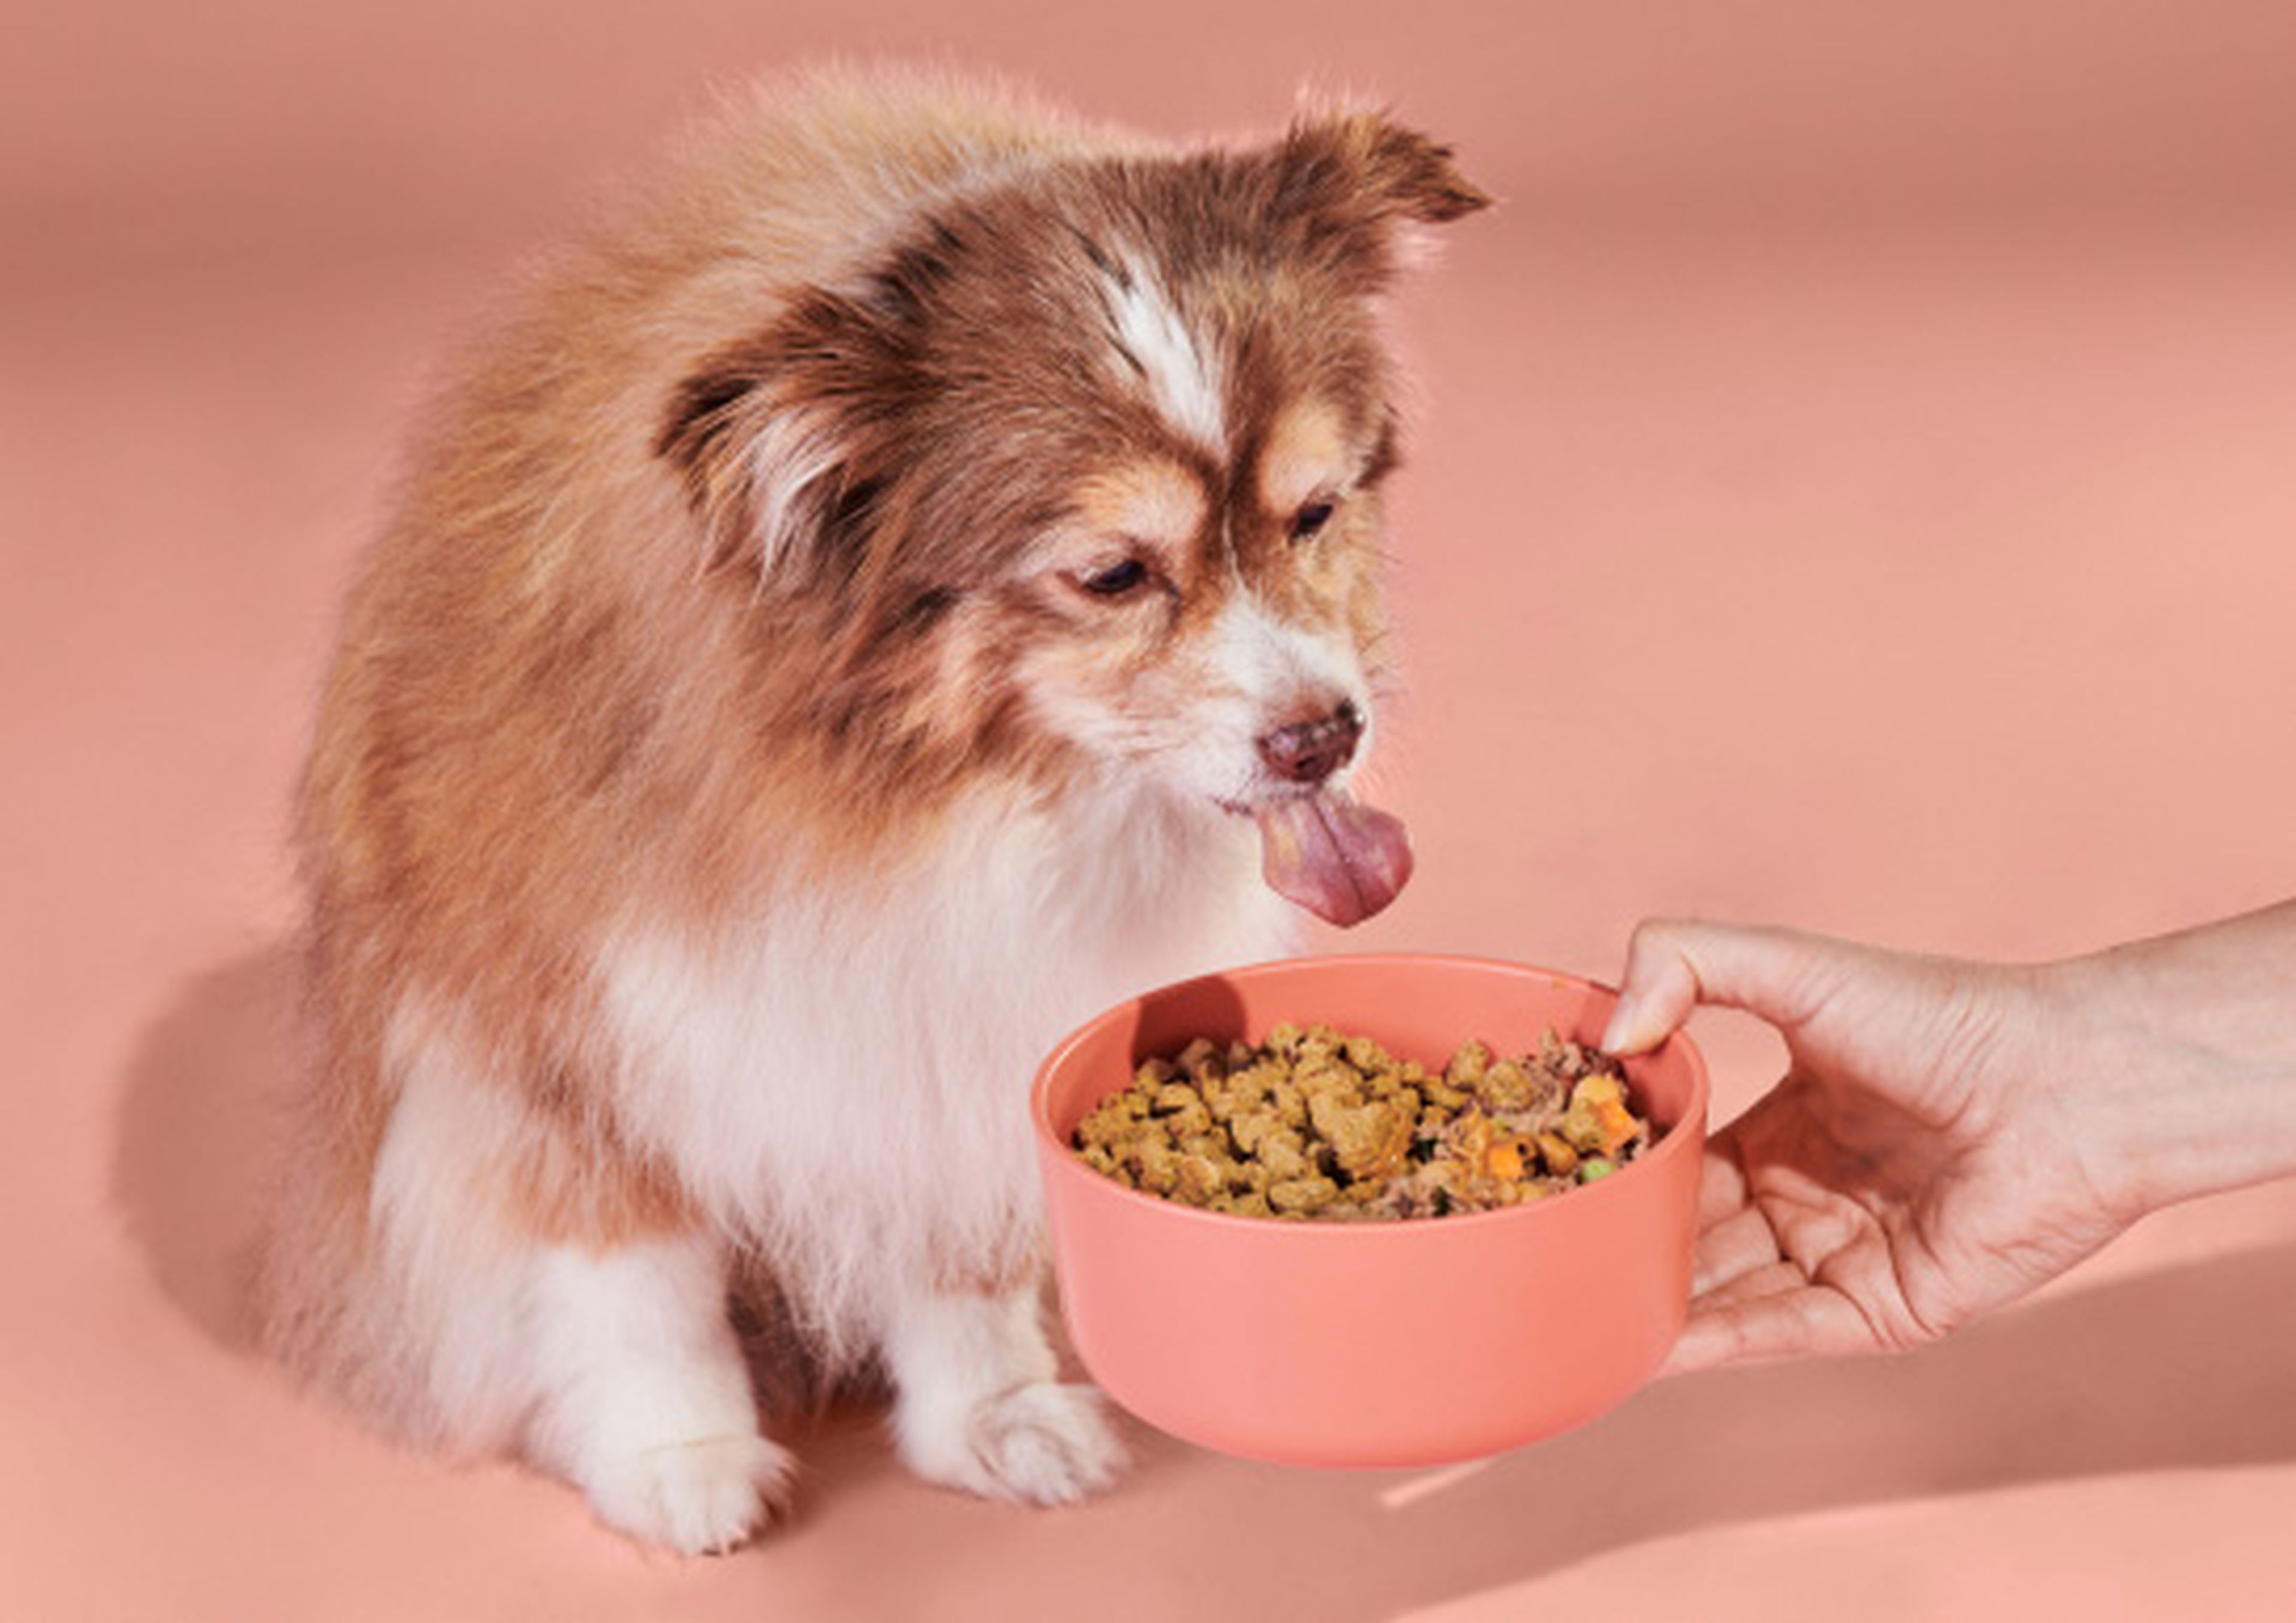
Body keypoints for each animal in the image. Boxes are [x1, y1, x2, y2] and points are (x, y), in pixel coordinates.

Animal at [264, 69, 1488, 1551]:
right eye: (1113, 574)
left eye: (1314, 511)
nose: (1324, 736)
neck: (935, 808)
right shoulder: (558, 1042)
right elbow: (636, 1277)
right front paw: (682, 1460)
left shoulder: (953, 1032)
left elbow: (957, 1250)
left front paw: (998, 1421)